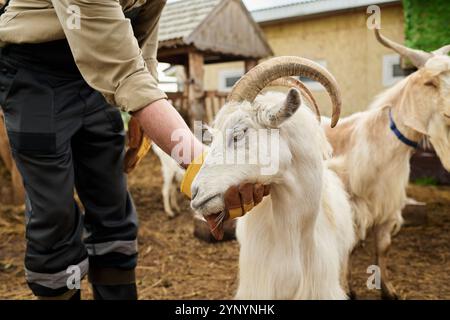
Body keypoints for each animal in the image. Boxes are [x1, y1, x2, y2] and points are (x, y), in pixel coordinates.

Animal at [324, 30, 450, 300]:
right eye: (430, 83)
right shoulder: (353, 205)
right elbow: (348, 244)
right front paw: (347, 289)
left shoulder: (388, 206)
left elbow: (383, 247)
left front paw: (389, 291)